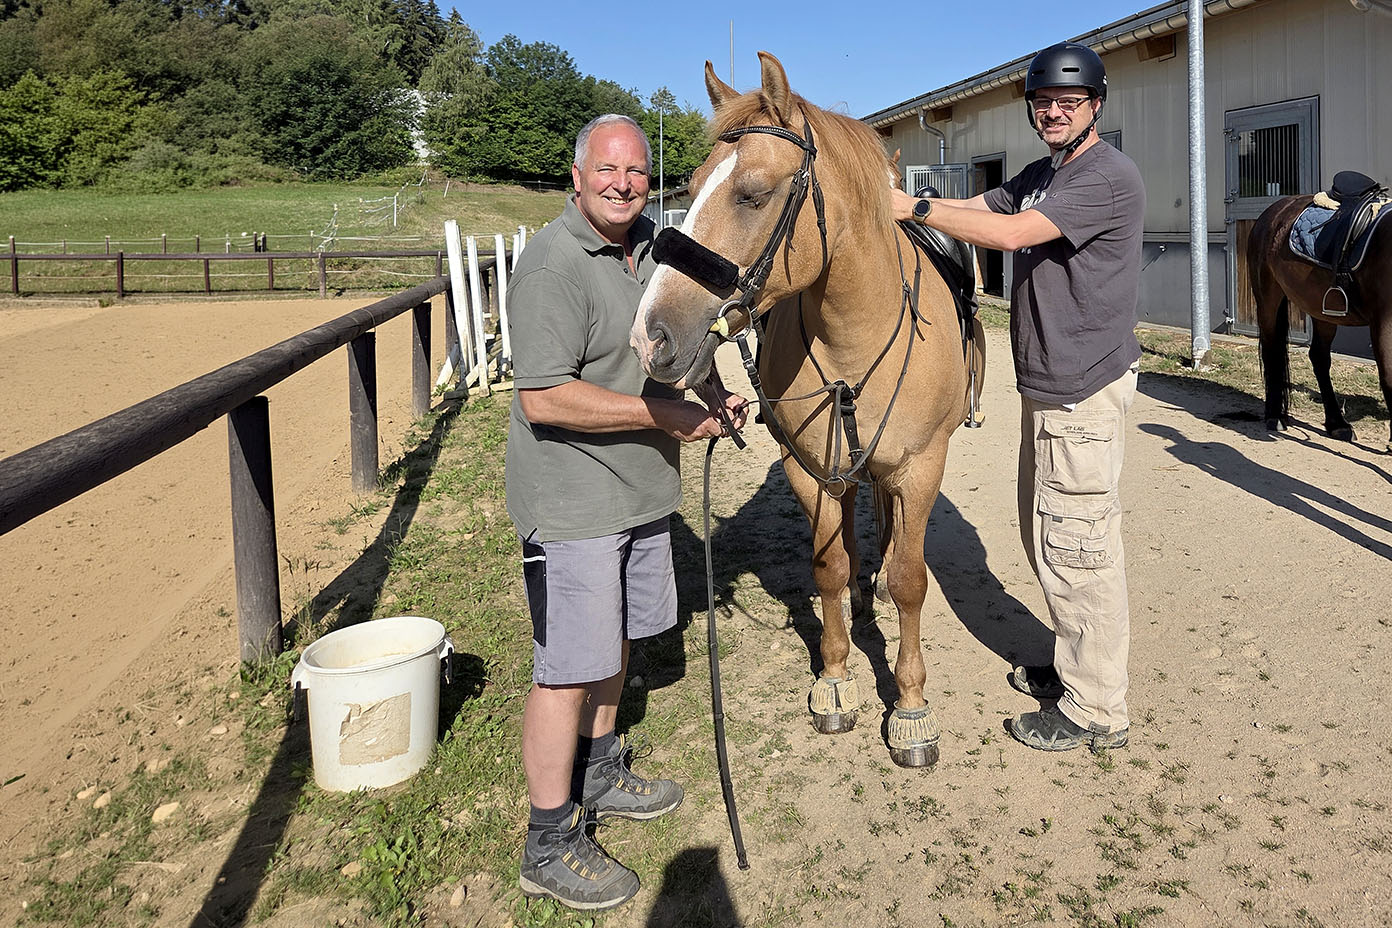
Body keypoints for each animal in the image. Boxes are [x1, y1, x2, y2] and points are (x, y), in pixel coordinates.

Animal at [630, 52, 984, 768]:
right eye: (692, 185)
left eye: (753, 194)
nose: (651, 337)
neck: (856, 332)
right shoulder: (810, 469)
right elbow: (828, 567)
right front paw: (836, 677)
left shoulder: (920, 466)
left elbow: (912, 579)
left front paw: (910, 706)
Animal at [1247, 191, 1392, 451]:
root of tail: (1273, 212)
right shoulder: (1383, 323)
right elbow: (1388, 377)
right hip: (1267, 299)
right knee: (1272, 352)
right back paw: (1275, 416)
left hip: (1322, 310)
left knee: (1319, 357)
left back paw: (1337, 424)